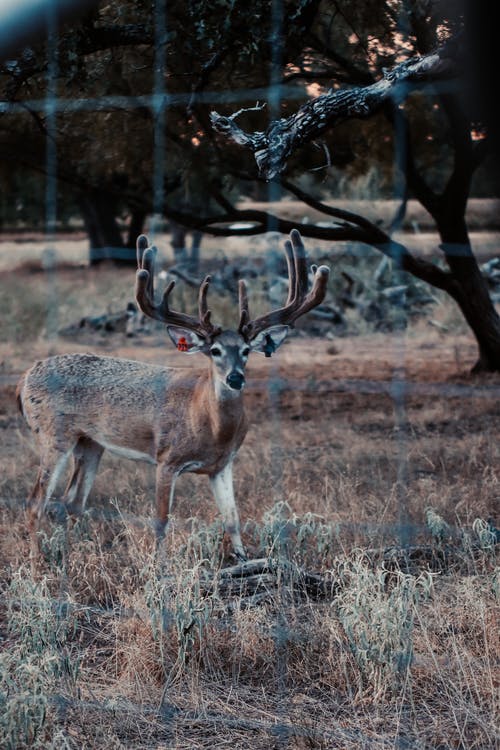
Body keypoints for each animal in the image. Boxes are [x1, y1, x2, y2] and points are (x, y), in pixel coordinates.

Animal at [16, 229, 328, 560]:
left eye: (246, 351)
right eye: (214, 350)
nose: (235, 378)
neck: (208, 423)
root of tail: (23, 379)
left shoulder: (223, 465)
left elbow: (232, 519)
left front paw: (244, 559)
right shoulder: (166, 459)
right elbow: (161, 520)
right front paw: (159, 566)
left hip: (90, 443)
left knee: (71, 502)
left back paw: (71, 556)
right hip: (52, 435)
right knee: (36, 502)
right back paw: (38, 566)